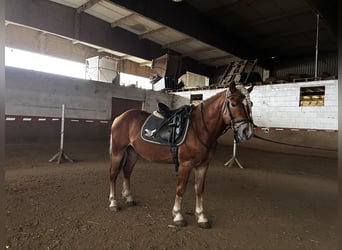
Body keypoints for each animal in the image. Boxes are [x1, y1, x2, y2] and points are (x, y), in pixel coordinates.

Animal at [109, 82, 254, 229]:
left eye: (251, 104)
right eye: (233, 104)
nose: (247, 132)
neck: (199, 128)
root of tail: (121, 117)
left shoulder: (203, 165)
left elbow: (199, 189)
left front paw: (201, 217)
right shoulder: (186, 164)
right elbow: (181, 189)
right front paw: (178, 216)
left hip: (133, 152)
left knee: (127, 172)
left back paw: (129, 198)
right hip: (117, 151)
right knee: (113, 174)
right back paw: (113, 203)